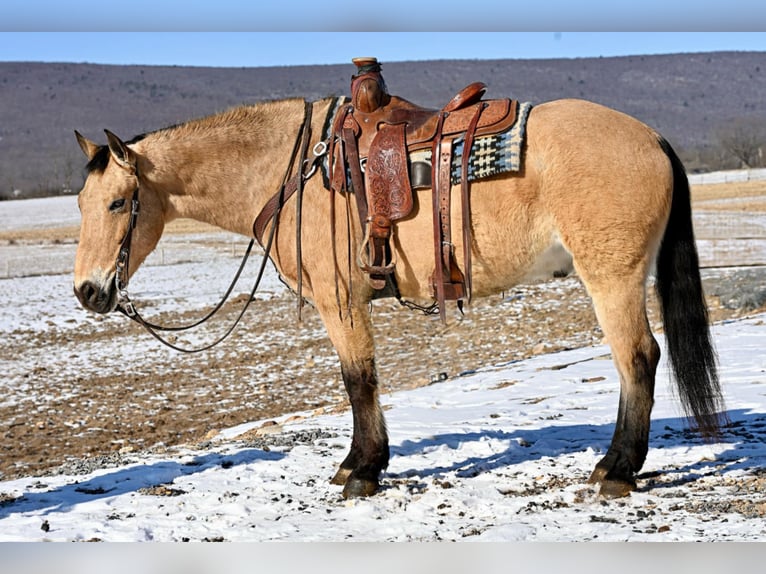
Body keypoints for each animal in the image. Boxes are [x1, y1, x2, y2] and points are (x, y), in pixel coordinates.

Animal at [72, 57, 728, 500]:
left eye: (116, 204)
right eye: (79, 203)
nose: (87, 291)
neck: (292, 170)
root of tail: (651, 137)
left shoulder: (341, 300)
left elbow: (358, 380)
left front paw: (361, 470)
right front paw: (361, 464)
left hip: (611, 277)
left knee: (637, 358)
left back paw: (616, 470)